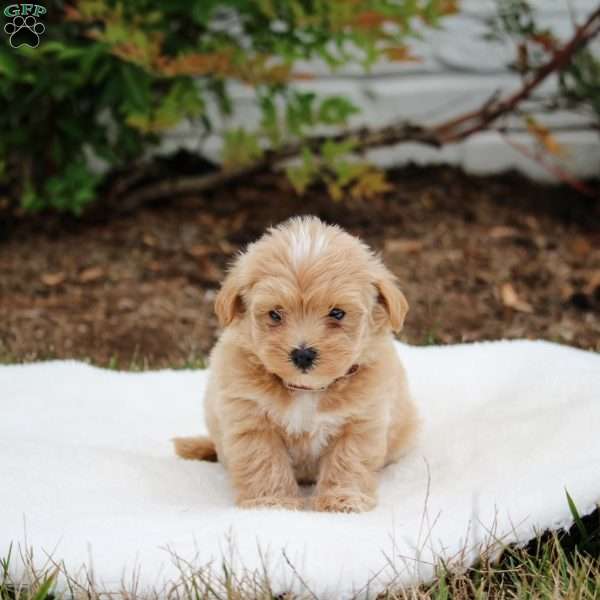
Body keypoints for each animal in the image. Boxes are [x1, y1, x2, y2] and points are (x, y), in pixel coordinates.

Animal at [173, 216, 418, 510]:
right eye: (275, 314)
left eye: (337, 313)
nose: (303, 354)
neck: (306, 390)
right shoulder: (252, 420)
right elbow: (265, 463)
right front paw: (271, 502)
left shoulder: (361, 421)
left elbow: (348, 462)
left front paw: (343, 500)